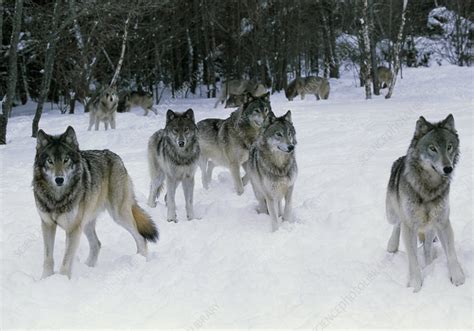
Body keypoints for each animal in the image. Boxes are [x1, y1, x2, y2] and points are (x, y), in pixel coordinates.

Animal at [33, 127, 159, 280]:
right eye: (50, 161)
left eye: (66, 160)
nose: (59, 179)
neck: (57, 198)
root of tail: (115, 156)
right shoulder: (47, 225)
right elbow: (48, 258)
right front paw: (45, 279)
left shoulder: (73, 229)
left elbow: (66, 261)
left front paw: (61, 280)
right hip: (86, 223)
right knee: (97, 244)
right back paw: (88, 267)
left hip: (118, 216)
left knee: (141, 238)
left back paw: (142, 261)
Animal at [386, 114, 462, 294]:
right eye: (432, 148)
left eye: (449, 147)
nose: (448, 168)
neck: (429, 187)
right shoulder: (409, 226)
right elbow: (413, 261)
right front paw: (415, 285)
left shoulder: (443, 222)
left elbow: (451, 253)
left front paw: (457, 278)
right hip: (392, 214)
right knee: (397, 224)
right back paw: (392, 245)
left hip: (431, 227)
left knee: (427, 248)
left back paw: (429, 263)